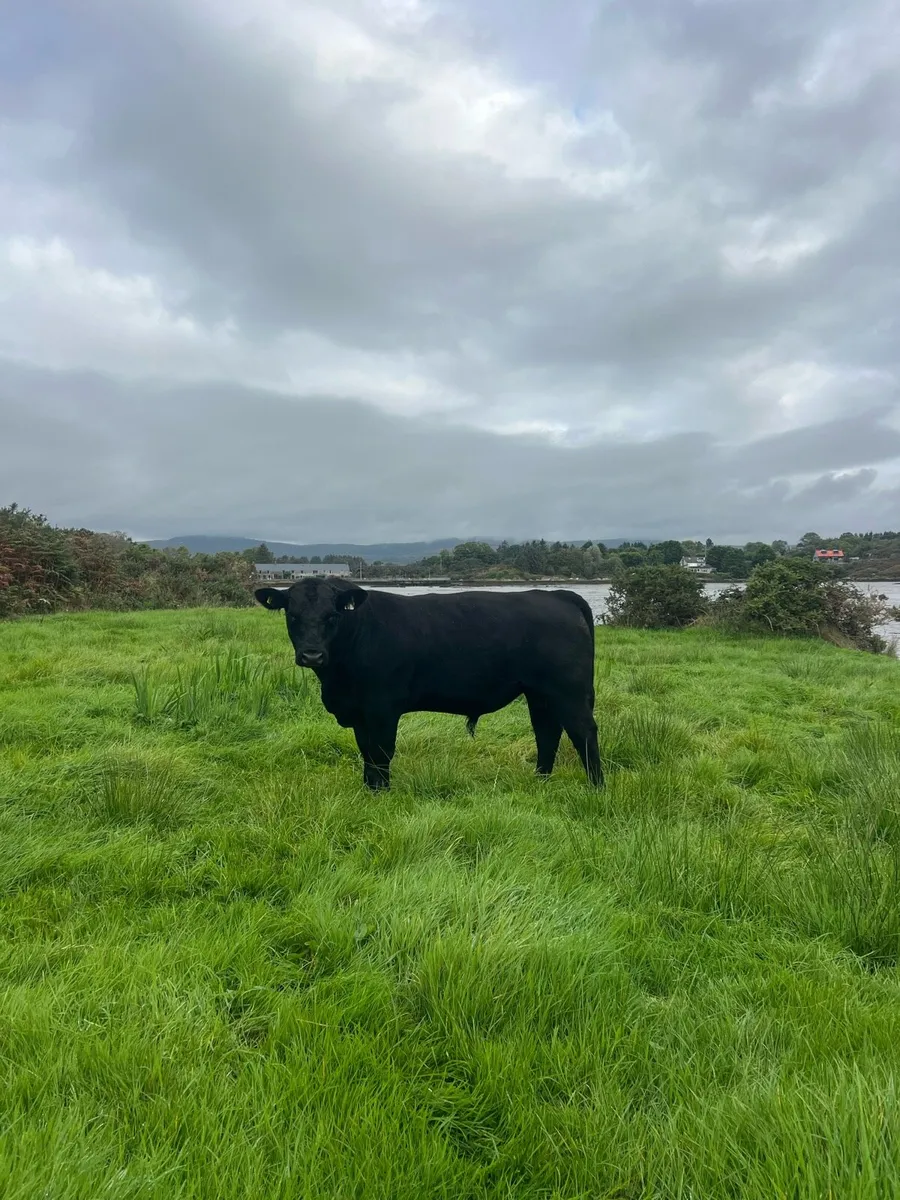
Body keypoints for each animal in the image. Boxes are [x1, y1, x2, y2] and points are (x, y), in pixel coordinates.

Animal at [255, 578, 602, 791]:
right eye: (292, 614)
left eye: (332, 615)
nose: (311, 654)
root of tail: (555, 595)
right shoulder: (359, 712)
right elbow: (366, 751)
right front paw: (368, 789)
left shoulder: (382, 707)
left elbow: (380, 751)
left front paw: (381, 793)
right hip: (539, 692)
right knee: (547, 732)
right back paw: (540, 780)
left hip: (568, 690)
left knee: (582, 731)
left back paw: (596, 786)